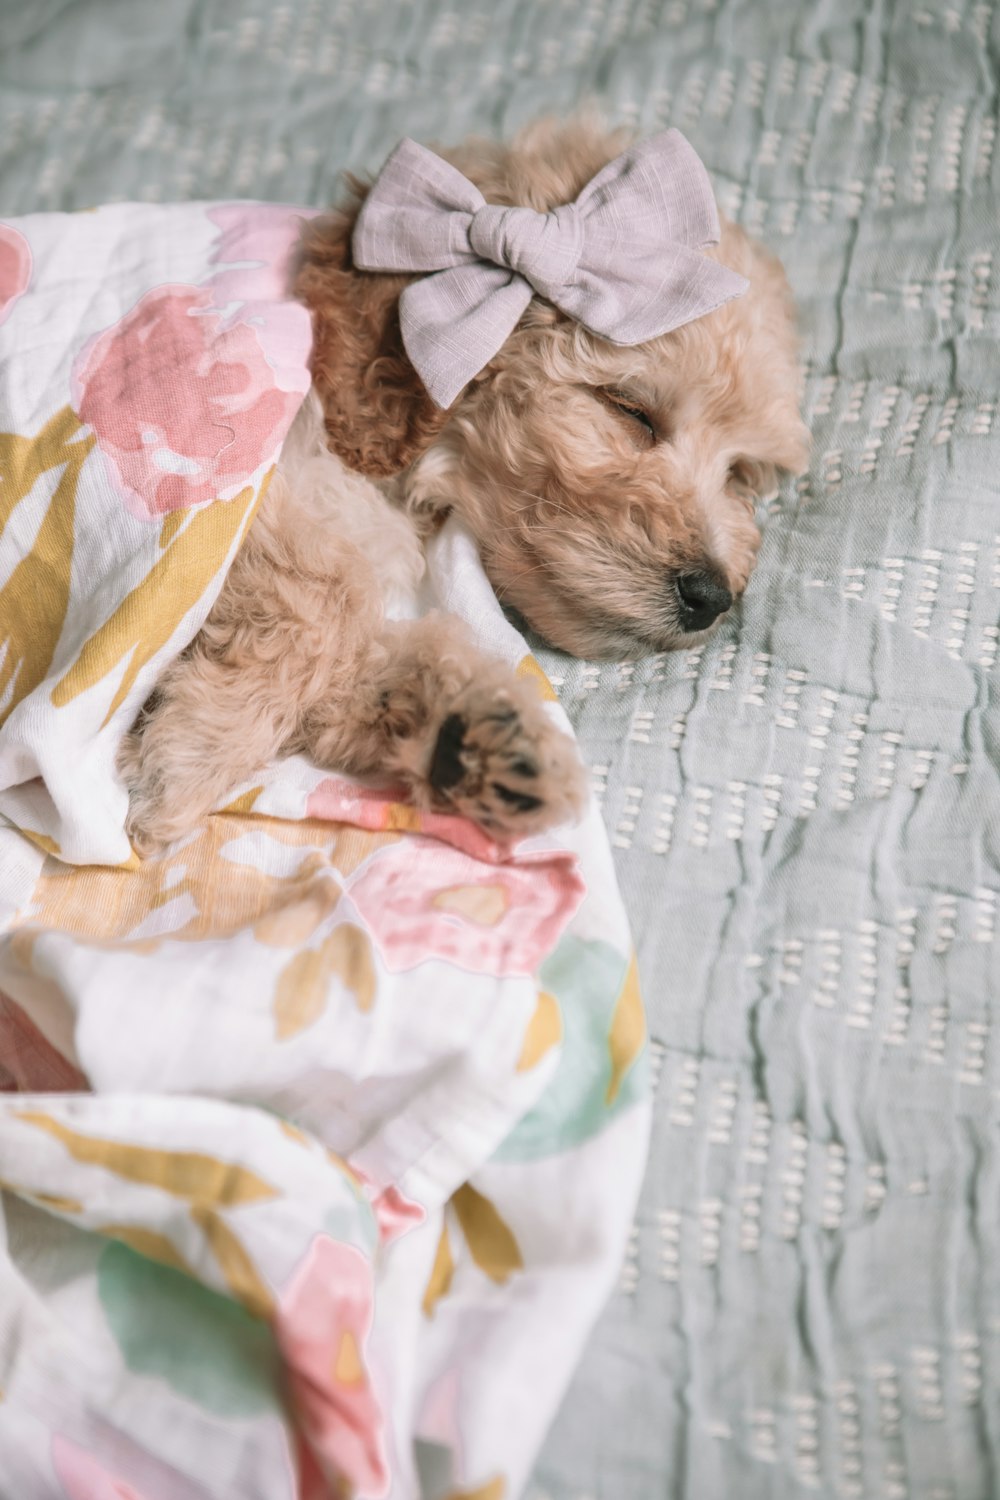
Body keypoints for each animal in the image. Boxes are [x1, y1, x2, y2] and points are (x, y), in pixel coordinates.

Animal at [119, 114, 803, 858]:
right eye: (631, 410)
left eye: (739, 472)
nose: (710, 597)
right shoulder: (230, 476)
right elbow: (325, 584)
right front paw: (198, 746)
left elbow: (350, 659)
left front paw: (470, 733)